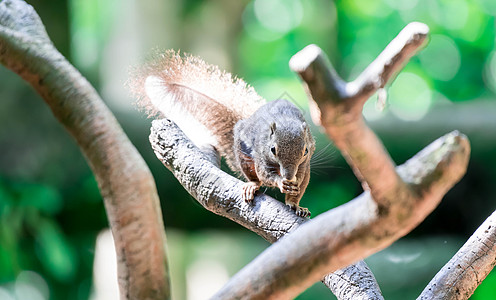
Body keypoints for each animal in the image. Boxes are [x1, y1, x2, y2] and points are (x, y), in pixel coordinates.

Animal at [132, 50, 316, 217]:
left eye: (305, 151)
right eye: (273, 150)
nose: (288, 175)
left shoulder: (303, 164)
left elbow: (300, 179)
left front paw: (293, 194)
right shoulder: (260, 155)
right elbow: (265, 174)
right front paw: (280, 182)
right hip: (243, 157)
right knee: (256, 178)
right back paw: (252, 185)